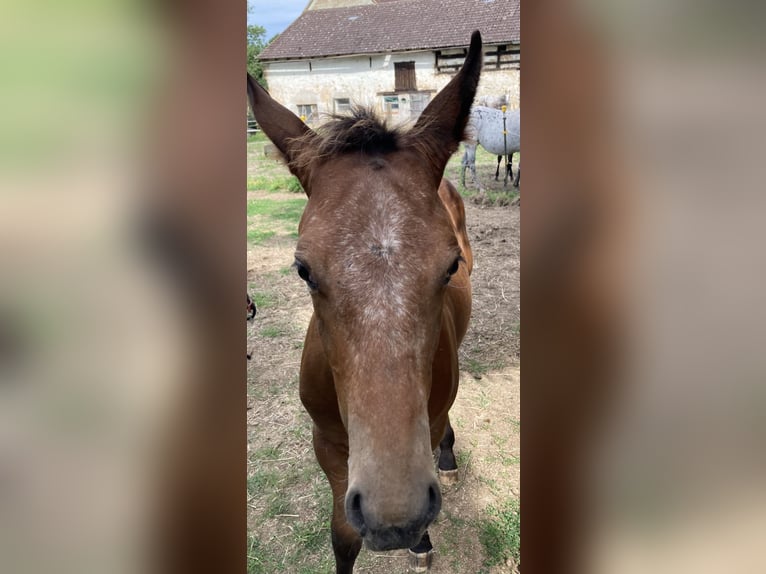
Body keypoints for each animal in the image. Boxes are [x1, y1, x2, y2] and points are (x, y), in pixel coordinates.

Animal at [249, 29, 484, 572]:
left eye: (450, 266)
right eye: (303, 269)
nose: (393, 518)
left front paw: (421, 540)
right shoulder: (328, 445)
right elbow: (342, 535)